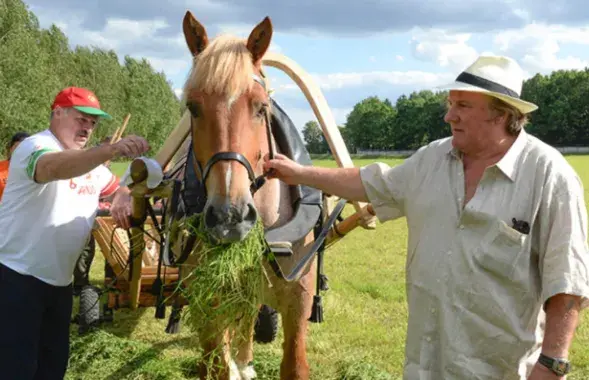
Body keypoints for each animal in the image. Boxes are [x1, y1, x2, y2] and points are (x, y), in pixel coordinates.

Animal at [177, 10, 320, 378]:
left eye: (260, 107)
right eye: (193, 107)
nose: (230, 218)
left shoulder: (299, 298)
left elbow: (295, 364)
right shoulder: (208, 298)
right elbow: (216, 363)